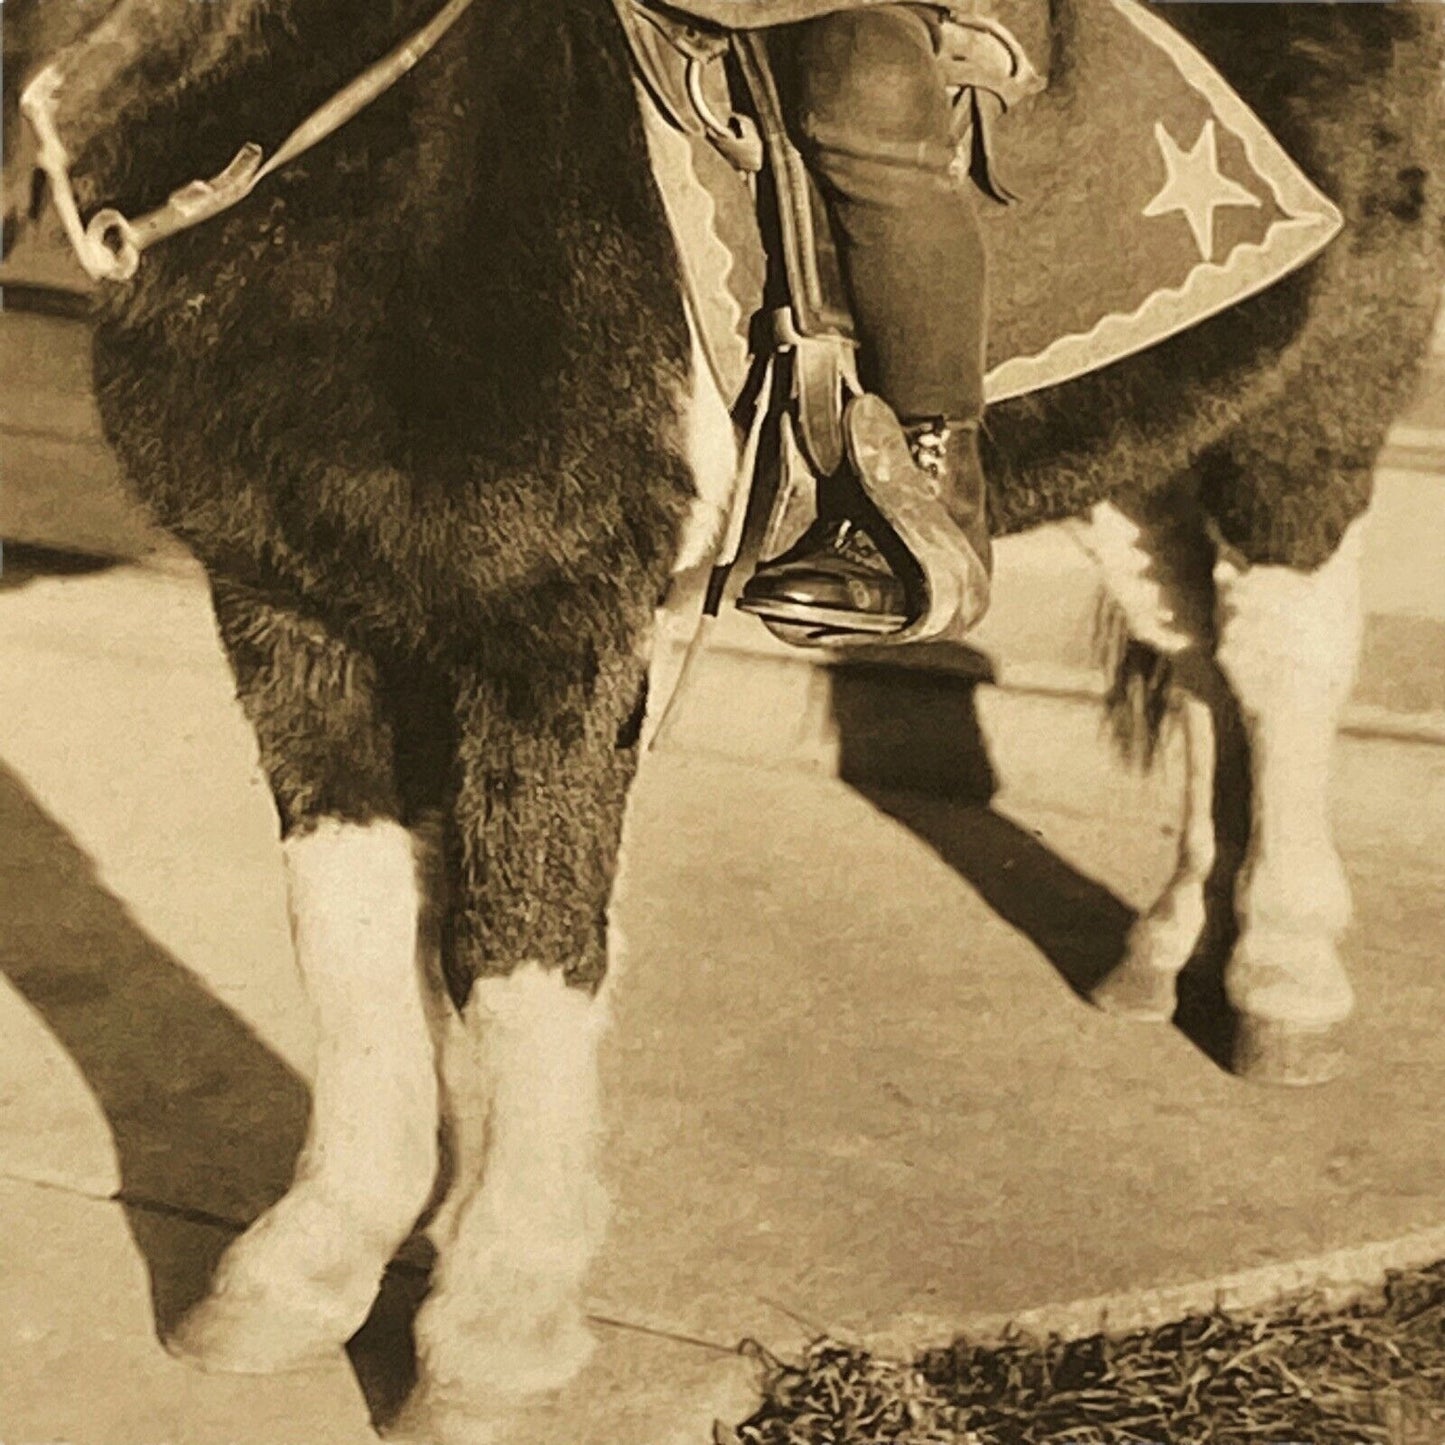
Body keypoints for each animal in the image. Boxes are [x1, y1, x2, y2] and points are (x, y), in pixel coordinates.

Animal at [2, 0, 1445, 1439]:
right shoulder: (291, 612)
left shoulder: (550, 633)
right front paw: (309, 1264)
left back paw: (1282, 984)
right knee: (1197, 661)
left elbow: (521, 949)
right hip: (1149, 444)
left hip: (1308, 414)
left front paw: (495, 1323)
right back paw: (1163, 948)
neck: (384, 158)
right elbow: (350, 934)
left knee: (1282, 664)